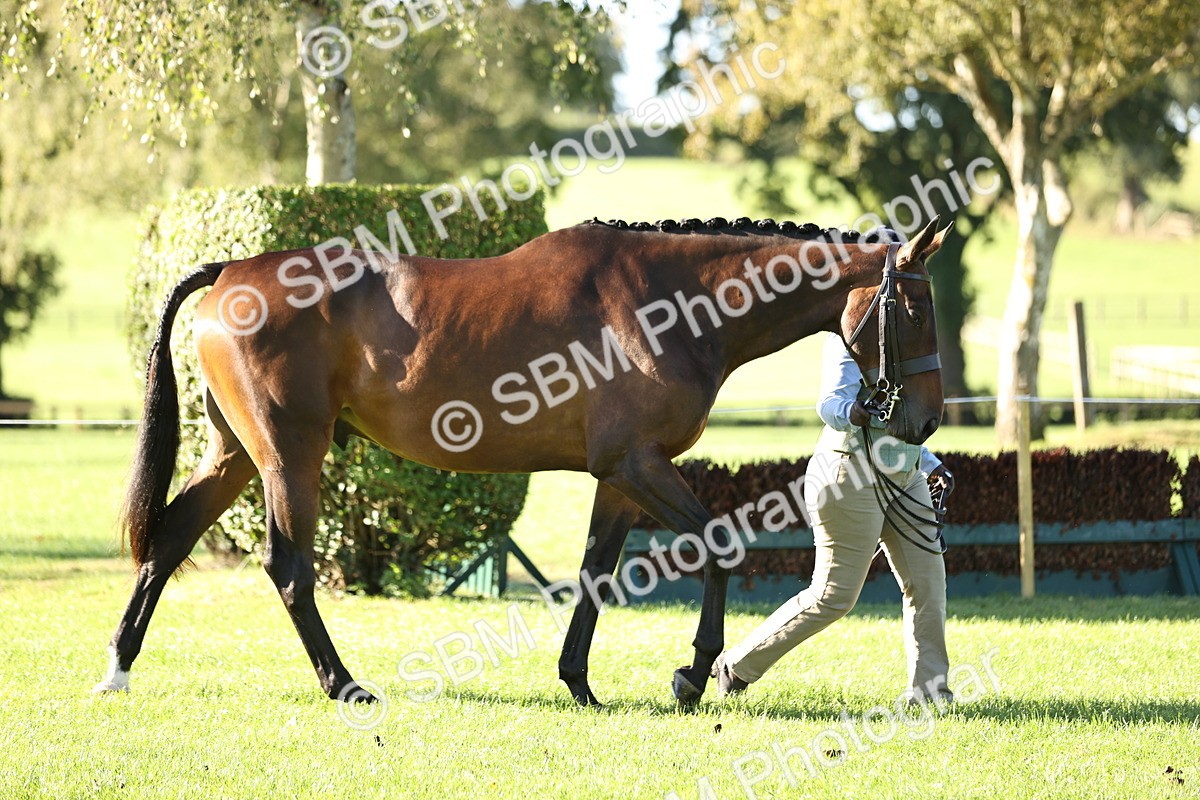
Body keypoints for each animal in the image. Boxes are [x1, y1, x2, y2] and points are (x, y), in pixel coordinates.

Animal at [93, 213, 951, 707]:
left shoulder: (620, 479)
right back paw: (344, 685)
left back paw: (119, 668)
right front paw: (691, 675)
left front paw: (580, 683)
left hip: (234, 454)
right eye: (912, 307)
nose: (927, 418)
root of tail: (231, 271)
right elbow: (719, 546)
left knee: (167, 542)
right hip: (288, 458)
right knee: (288, 569)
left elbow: (598, 573)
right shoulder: (640, 466)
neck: (670, 301)